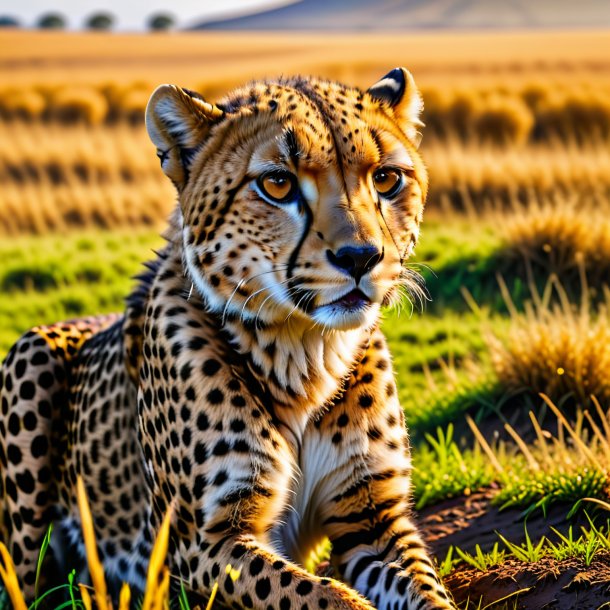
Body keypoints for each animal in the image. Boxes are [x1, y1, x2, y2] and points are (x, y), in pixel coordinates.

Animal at [1, 69, 452, 604]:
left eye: (386, 178)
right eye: (277, 183)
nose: (362, 257)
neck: (305, 353)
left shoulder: (373, 519)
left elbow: (428, 592)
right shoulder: (201, 542)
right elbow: (321, 595)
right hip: (31, 358)